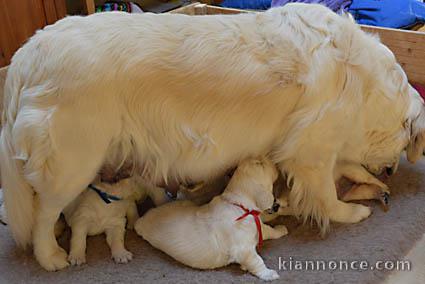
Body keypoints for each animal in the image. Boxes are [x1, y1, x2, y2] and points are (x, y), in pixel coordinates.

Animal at [0, 3, 424, 270]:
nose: (390, 172)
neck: (363, 82)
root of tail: (27, 54)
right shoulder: (311, 154)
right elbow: (329, 198)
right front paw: (354, 211)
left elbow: (345, 170)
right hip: (75, 159)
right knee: (43, 212)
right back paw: (50, 255)